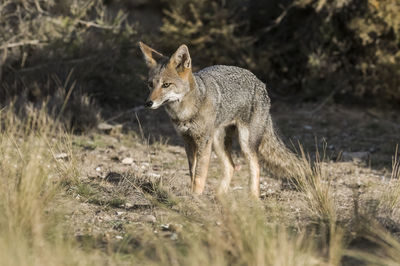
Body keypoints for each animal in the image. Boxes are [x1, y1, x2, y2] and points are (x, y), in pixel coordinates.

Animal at [138, 40, 304, 196]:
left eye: (166, 85)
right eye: (150, 85)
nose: (148, 103)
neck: (185, 112)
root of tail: (261, 83)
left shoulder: (203, 141)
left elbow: (199, 175)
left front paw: (195, 197)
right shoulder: (187, 140)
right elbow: (192, 172)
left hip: (245, 144)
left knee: (256, 168)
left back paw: (253, 199)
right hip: (219, 143)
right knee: (231, 167)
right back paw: (220, 198)